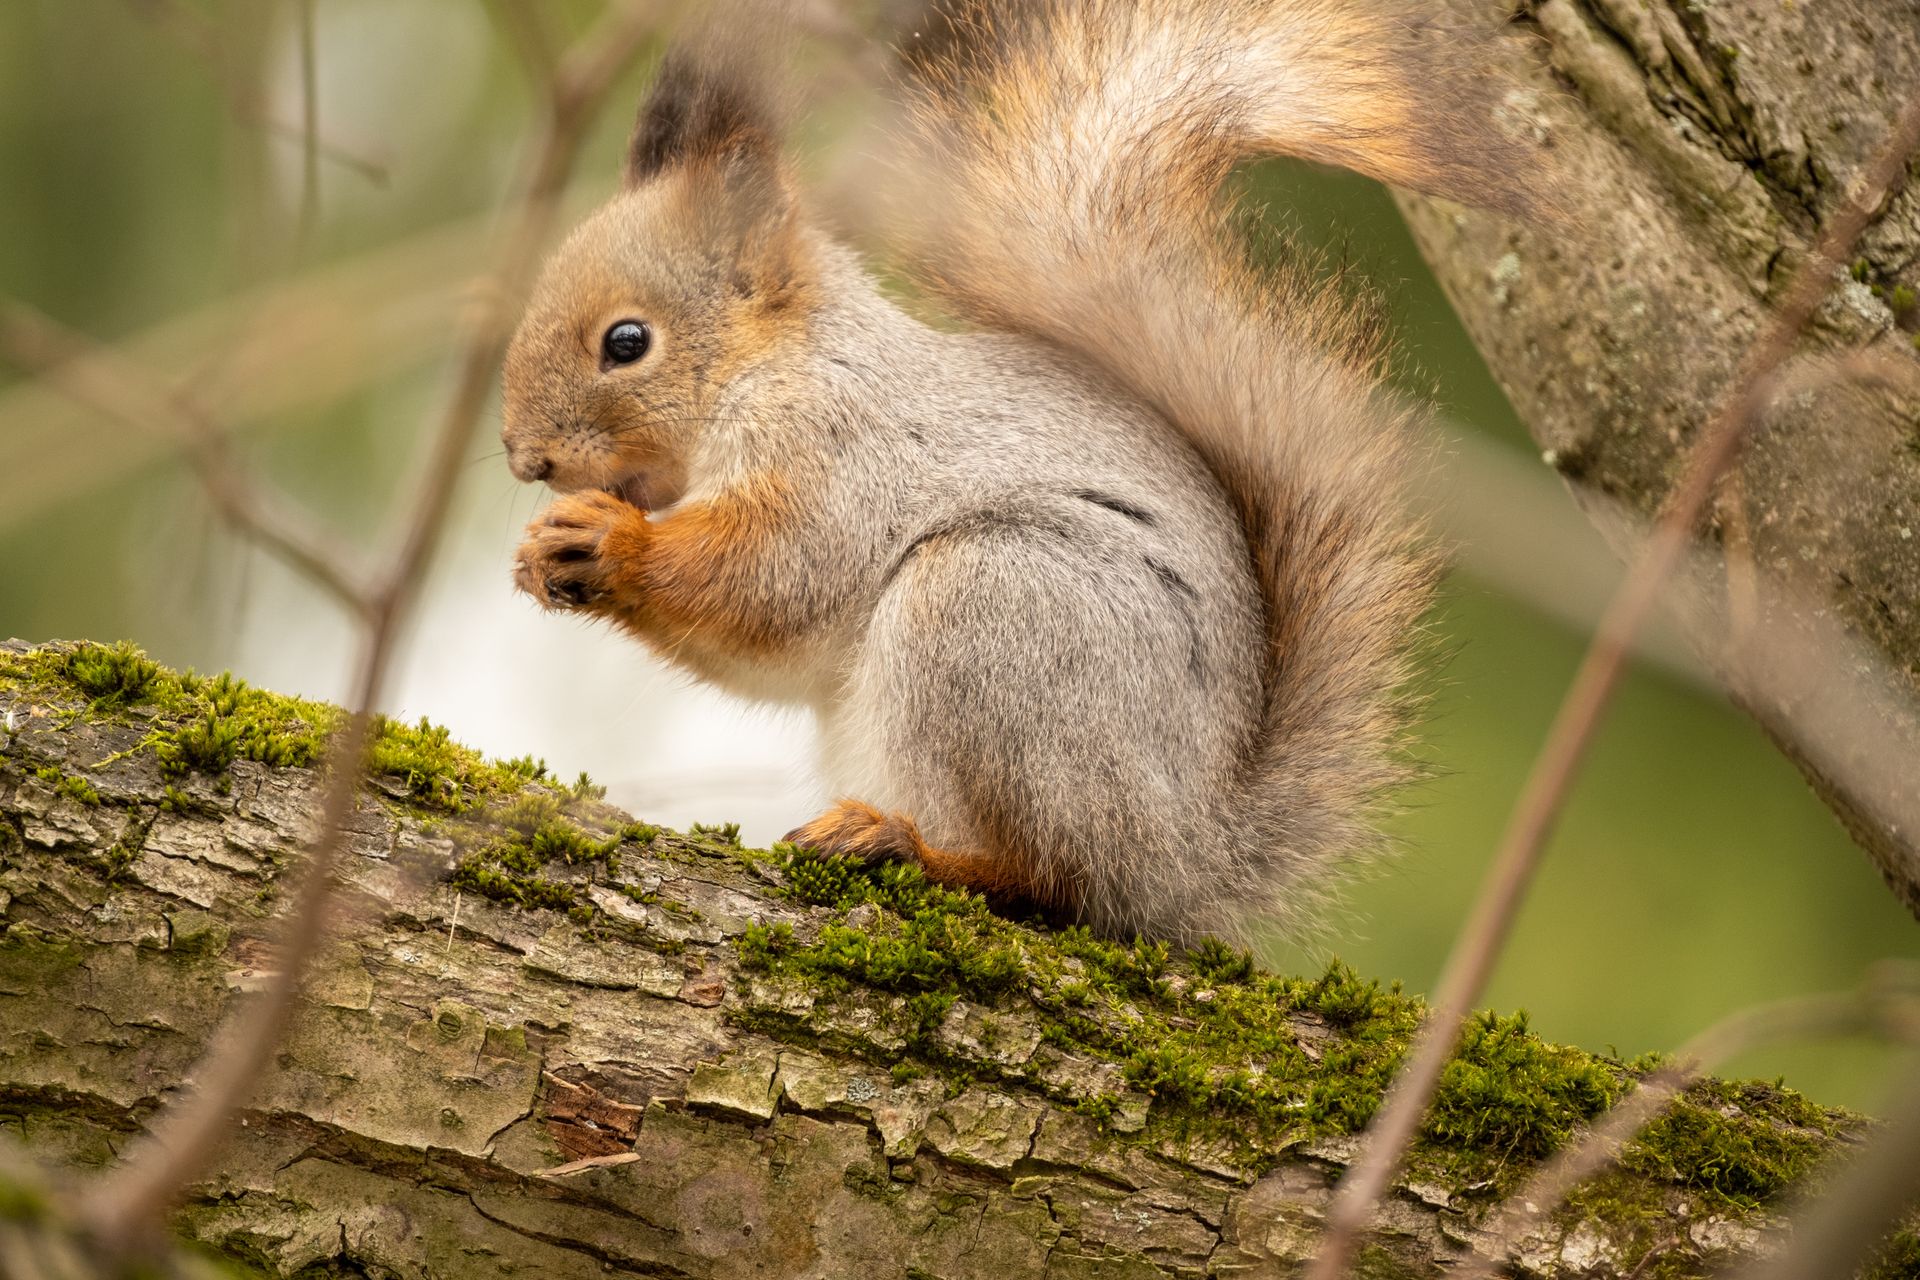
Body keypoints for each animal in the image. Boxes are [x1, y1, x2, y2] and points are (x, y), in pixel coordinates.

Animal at [501, 0, 1537, 944]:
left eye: (626, 342)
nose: (524, 459)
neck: (768, 365)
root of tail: (1190, 857)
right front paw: (542, 554)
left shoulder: (839, 451)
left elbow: (775, 577)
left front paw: (610, 541)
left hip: (996, 612)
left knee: (1057, 881)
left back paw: (910, 847)